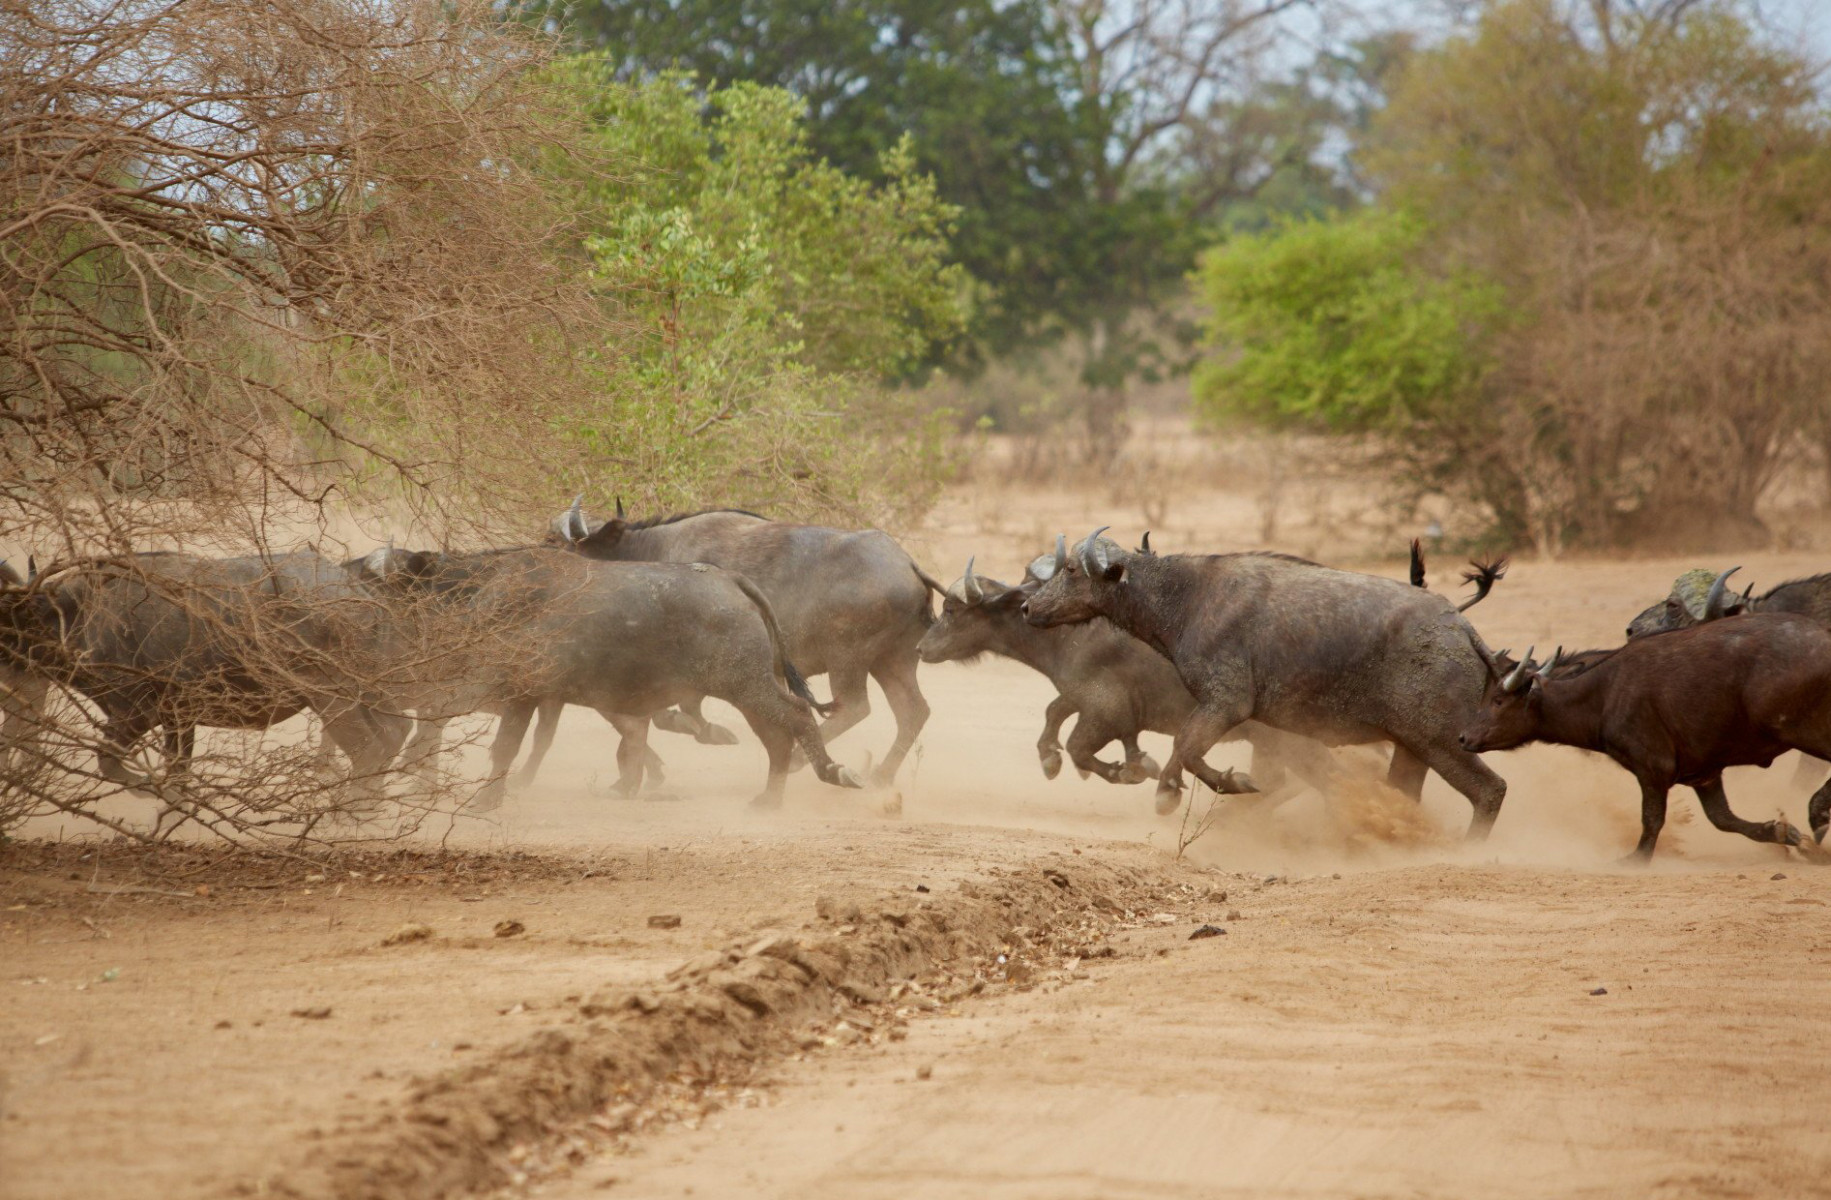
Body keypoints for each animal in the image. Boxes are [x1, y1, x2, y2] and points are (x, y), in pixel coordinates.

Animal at [545, 494, 944, 784]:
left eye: (561, 546)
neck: (648, 556)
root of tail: (908, 565)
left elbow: (670, 713)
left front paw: (704, 732)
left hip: (848, 659)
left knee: (855, 707)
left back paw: (801, 761)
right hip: (892, 661)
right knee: (913, 711)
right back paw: (880, 776)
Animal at [1025, 527, 1508, 835]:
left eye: (1071, 571)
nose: (1029, 608)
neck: (1189, 598)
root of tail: (1461, 629)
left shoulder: (1227, 703)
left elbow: (1188, 747)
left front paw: (1188, 790)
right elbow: (1186, 747)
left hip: (1441, 740)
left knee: (1490, 790)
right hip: (1411, 747)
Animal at [1457, 615, 1831, 857]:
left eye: (1498, 700)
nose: (1463, 738)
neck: (1605, 694)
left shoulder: (1653, 769)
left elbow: (1652, 819)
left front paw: (1636, 858)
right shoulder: (1704, 774)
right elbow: (1724, 820)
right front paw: (1783, 832)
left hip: (1799, 729)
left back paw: (1818, 814)